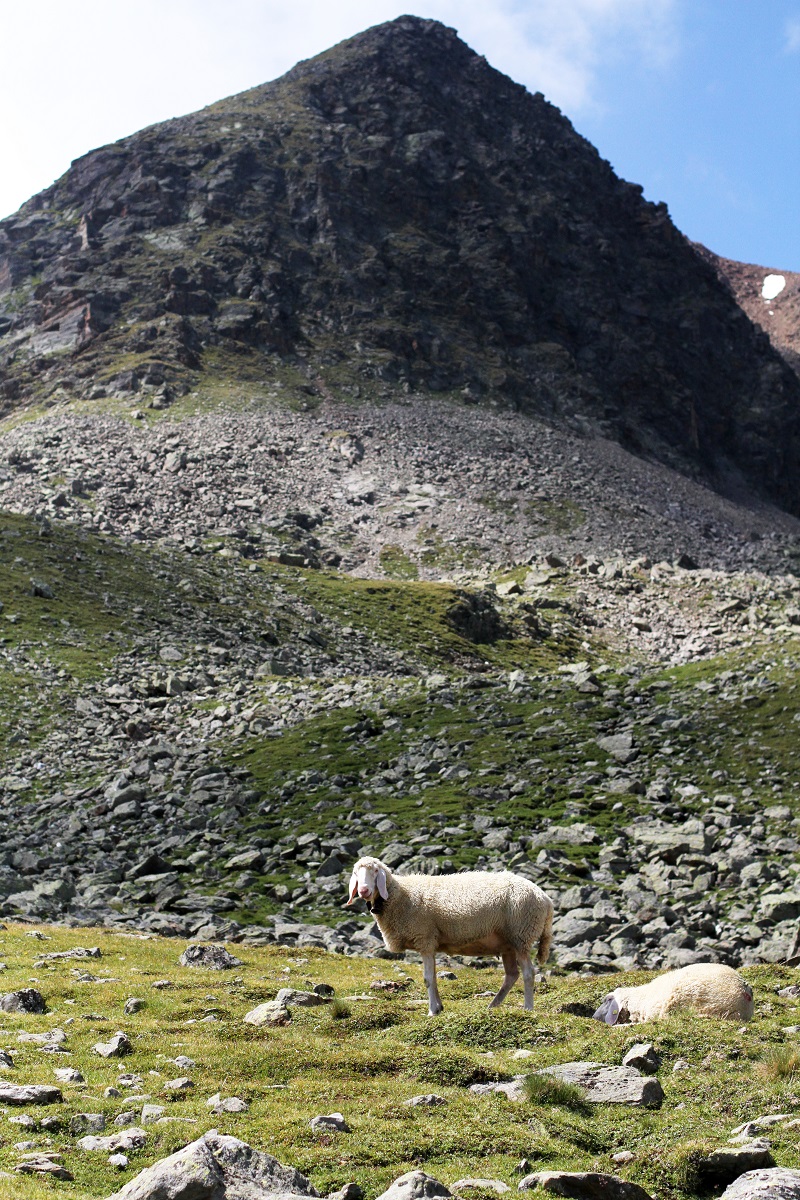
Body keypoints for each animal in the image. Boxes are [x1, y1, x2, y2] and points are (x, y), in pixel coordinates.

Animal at [347, 854, 554, 1012]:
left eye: (375, 871)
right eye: (356, 873)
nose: (363, 890)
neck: (399, 894)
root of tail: (545, 897)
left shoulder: (425, 939)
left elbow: (428, 979)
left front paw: (432, 1010)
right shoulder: (430, 944)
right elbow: (434, 978)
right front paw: (438, 1008)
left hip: (521, 935)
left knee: (528, 973)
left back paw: (528, 1008)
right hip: (508, 943)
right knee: (512, 975)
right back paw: (493, 1005)